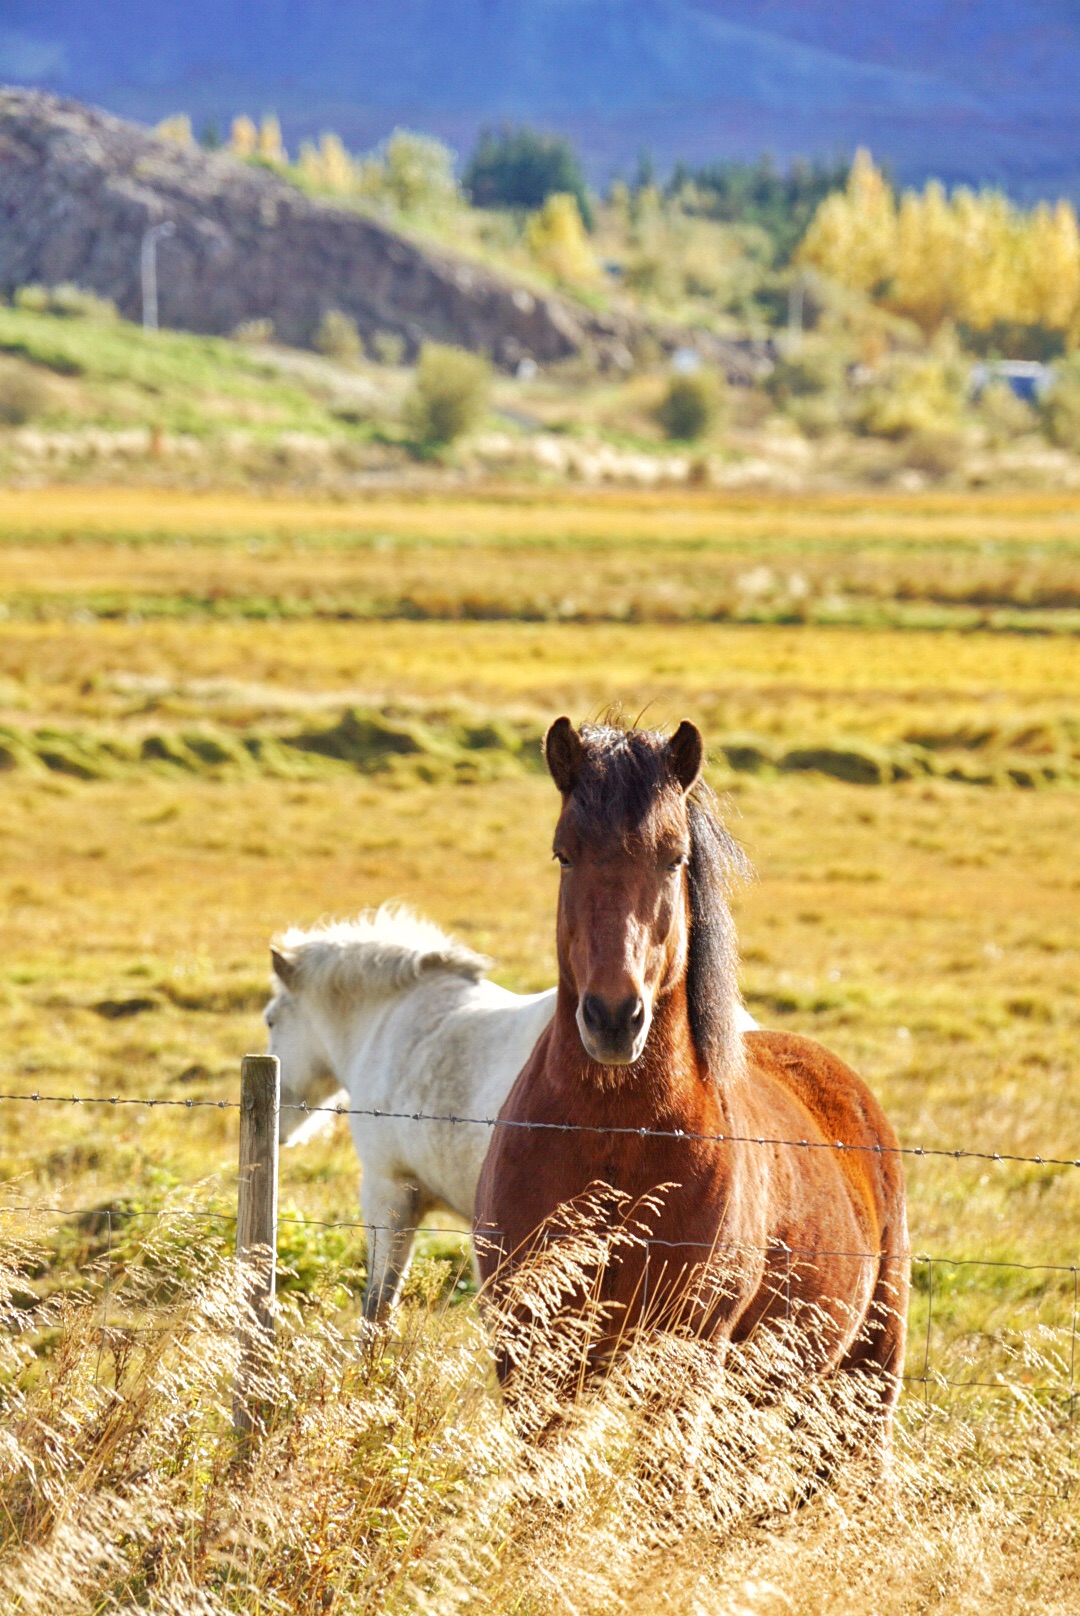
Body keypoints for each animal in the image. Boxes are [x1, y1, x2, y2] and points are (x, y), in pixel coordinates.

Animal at [475, 720, 905, 1454]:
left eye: (674, 859)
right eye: (564, 856)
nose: (613, 1016)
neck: (611, 1141)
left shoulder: (688, 1356)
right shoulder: (529, 1348)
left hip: (863, 1384)